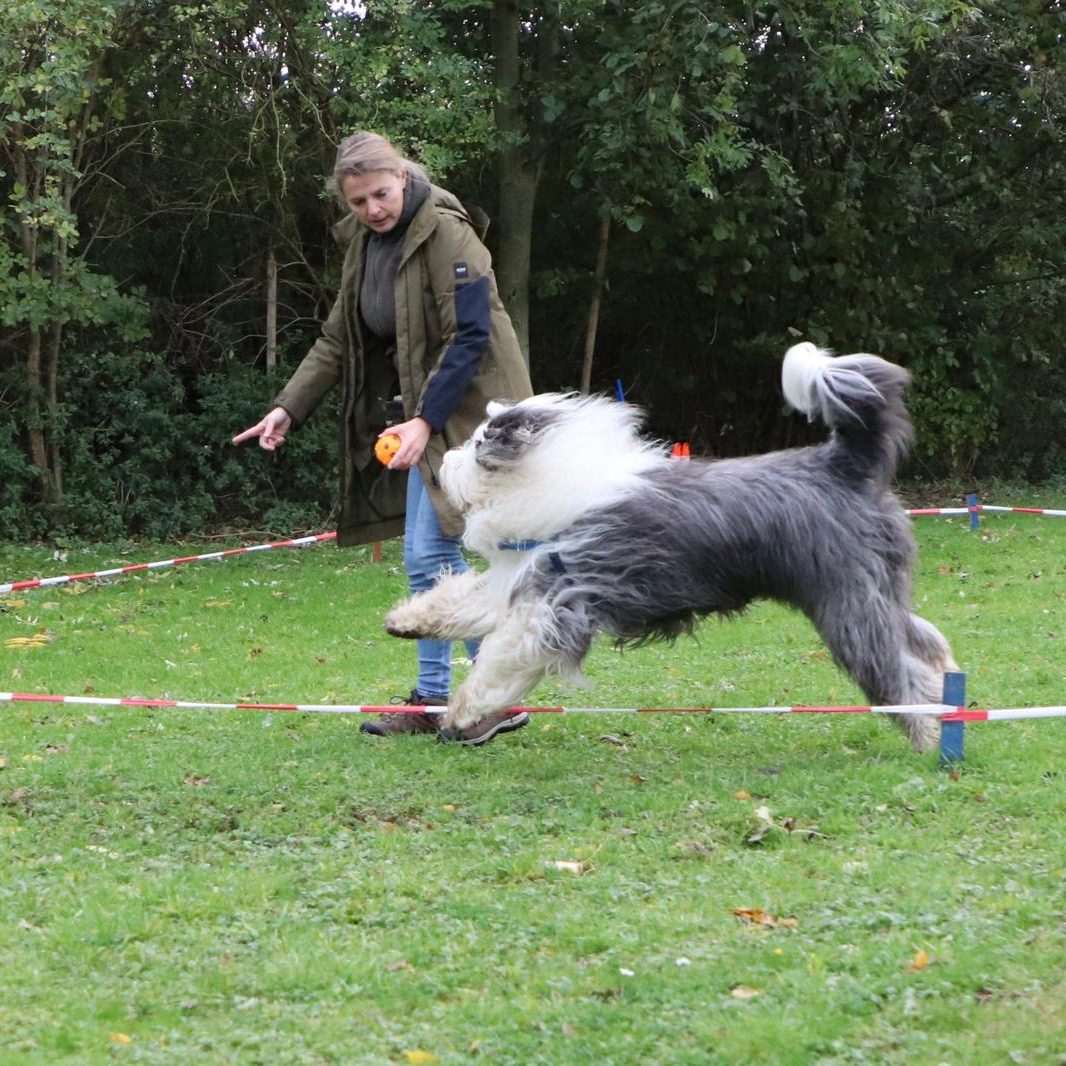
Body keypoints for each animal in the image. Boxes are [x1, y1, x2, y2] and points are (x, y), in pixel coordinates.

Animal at [385, 341, 959, 750]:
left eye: (479, 443)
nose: (445, 461)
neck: (543, 480)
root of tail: (842, 465)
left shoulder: (557, 603)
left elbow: (500, 658)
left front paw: (462, 709)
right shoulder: (522, 577)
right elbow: (464, 600)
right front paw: (407, 620)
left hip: (846, 602)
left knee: (898, 669)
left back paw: (930, 735)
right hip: (877, 588)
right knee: (925, 641)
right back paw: (950, 693)